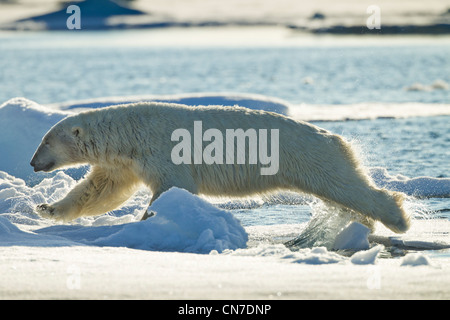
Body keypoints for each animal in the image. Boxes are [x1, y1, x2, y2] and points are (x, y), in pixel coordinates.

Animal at [29, 102, 412, 232]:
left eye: (45, 140)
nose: (32, 163)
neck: (129, 132)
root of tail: (334, 136)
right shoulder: (126, 163)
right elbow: (102, 190)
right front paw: (46, 208)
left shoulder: (160, 151)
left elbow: (172, 187)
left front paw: (150, 221)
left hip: (313, 156)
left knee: (345, 185)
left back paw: (397, 219)